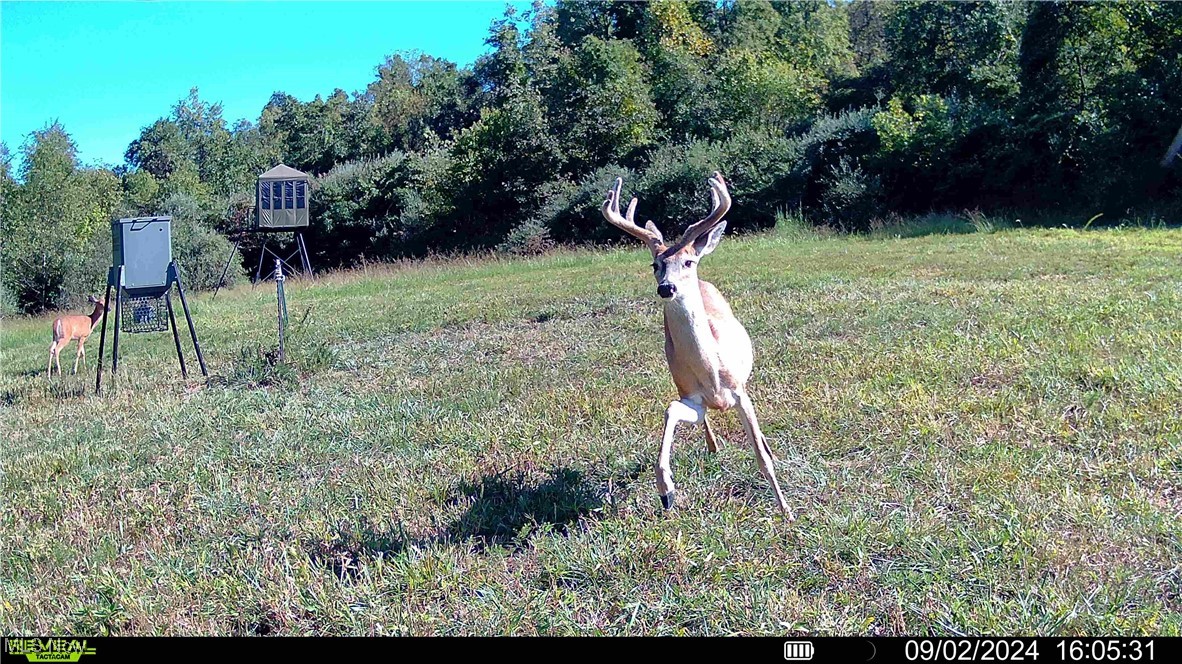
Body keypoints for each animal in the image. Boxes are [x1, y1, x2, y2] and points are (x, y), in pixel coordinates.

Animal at [601, 172, 792, 517]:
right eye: (655, 265)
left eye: (688, 261)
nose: (667, 288)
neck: (712, 372)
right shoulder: (692, 397)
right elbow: (671, 411)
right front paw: (666, 490)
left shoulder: (739, 392)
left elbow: (762, 458)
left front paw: (786, 511)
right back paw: (712, 447)